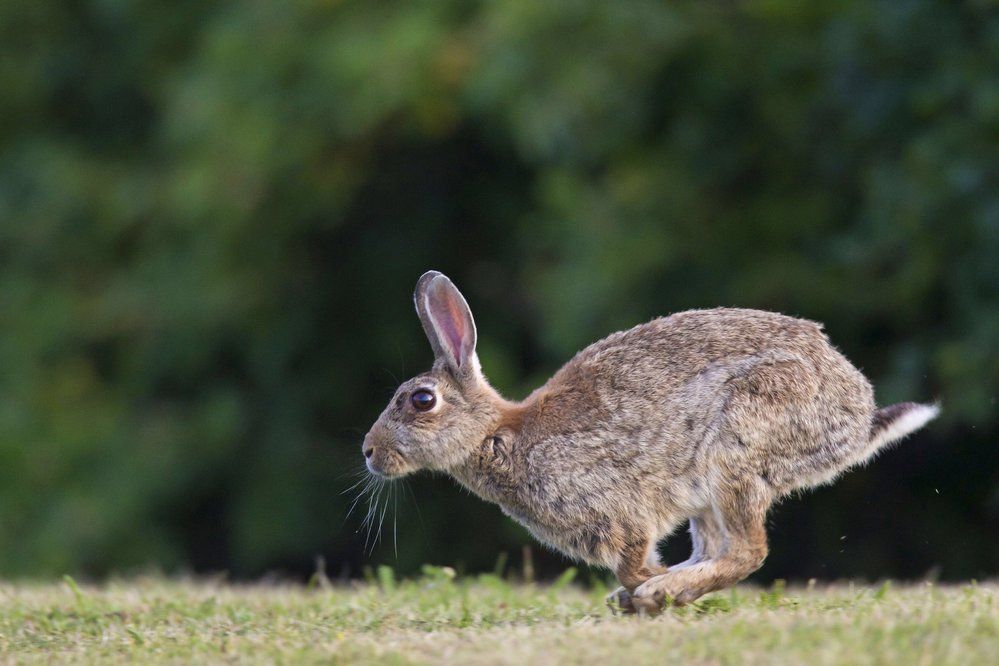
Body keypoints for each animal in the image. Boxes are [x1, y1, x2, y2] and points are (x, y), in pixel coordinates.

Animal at [364, 268, 940, 612]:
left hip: (737, 445)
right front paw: (642, 593)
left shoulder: (619, 512)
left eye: (421, 401)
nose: (369, 452)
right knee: (720, 546)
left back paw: (665, 590)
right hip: (708, 490)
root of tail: (856, 412)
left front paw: (649, 586)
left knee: (748, 551)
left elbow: (631, 560)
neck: (498, 434)